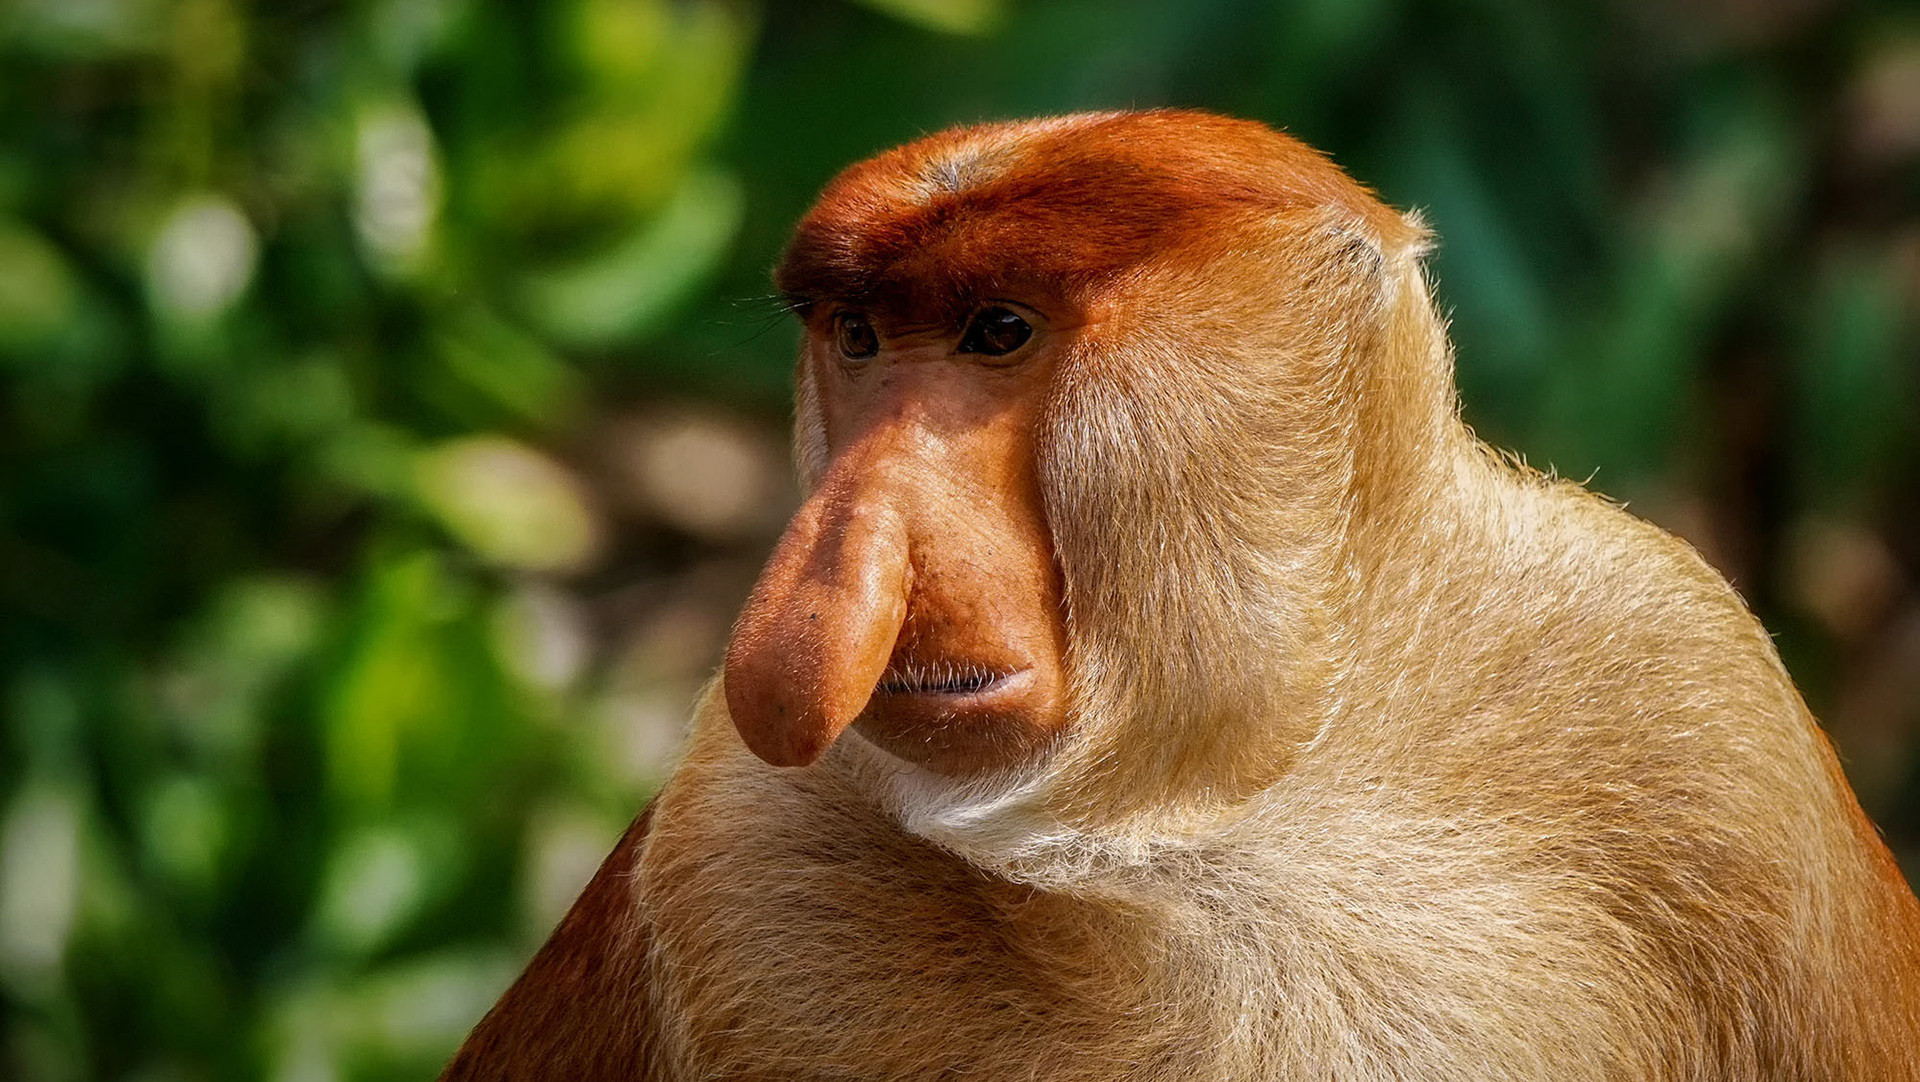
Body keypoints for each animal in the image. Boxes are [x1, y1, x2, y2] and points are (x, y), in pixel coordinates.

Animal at [441, 110, 1920, 1081]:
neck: (1240, 807)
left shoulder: (1698, 711)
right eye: (857, 340)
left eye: (998, 330)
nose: (823, 579)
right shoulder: (739, 851)